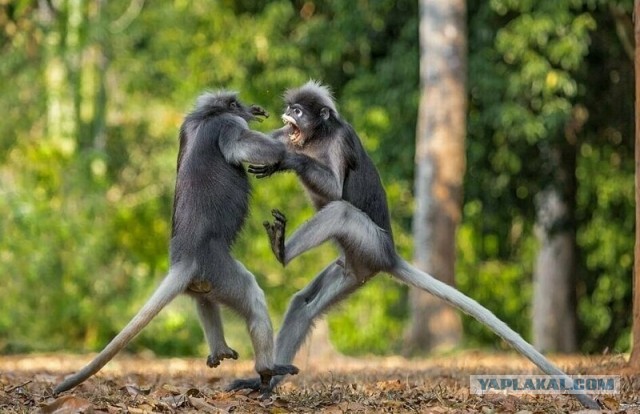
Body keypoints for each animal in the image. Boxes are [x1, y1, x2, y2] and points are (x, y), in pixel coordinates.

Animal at [53, 91, 298, 396]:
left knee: (205, 300)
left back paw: (220, 351)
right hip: (217, 266)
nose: (249, 109)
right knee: (252, 298)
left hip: (204, 280)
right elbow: (245, 147)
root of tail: (185, 260)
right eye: (237, 104)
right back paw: (267, 370)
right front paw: (288, 138)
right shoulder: (227, 125)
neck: (206, 115)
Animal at [227, 81, 599, 409]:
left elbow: (334, 190)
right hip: (352, 268)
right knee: (302, 305)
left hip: (368, 242)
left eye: (299, 110)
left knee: (341, 211)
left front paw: (287, 161)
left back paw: (282, 252)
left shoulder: (339, 141)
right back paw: (267, 381)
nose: (289, 111)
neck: (315, 139)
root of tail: (390, 255)